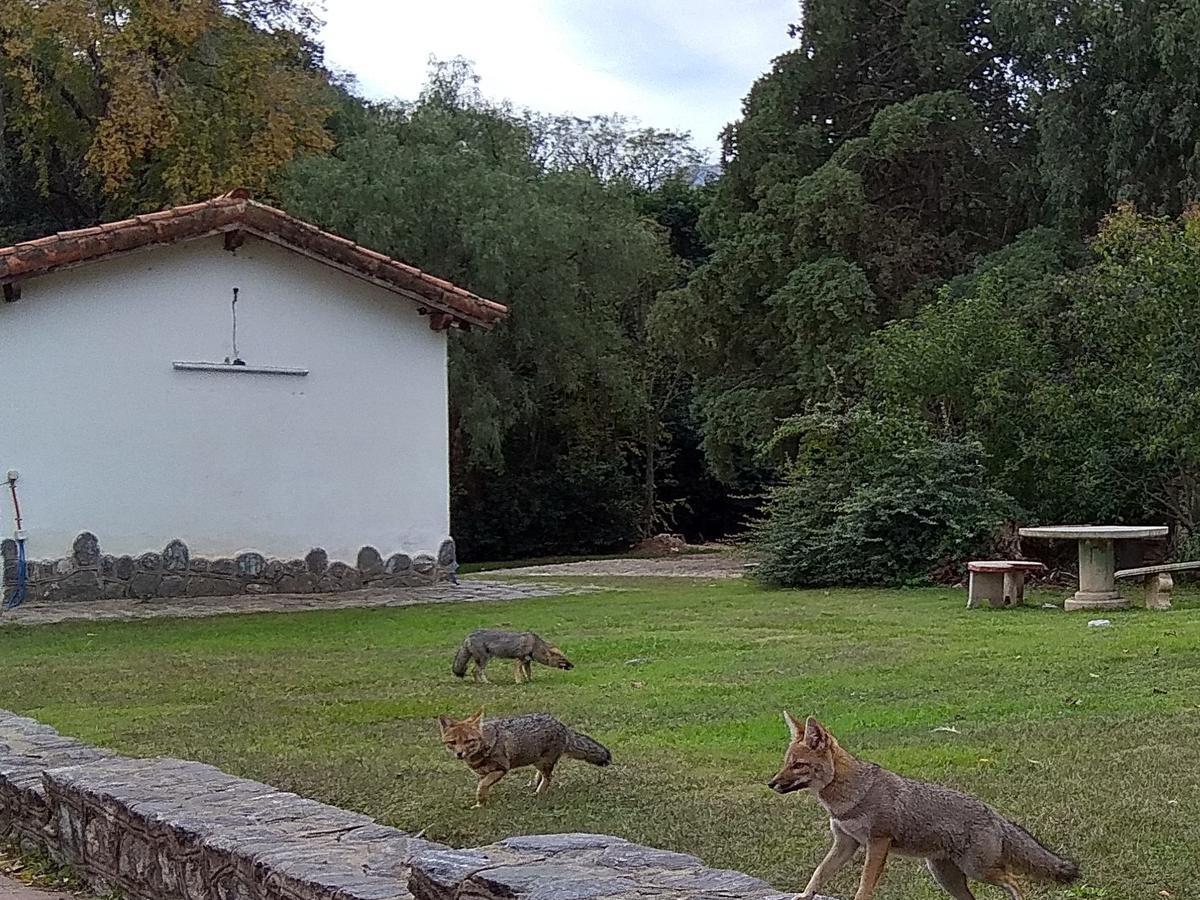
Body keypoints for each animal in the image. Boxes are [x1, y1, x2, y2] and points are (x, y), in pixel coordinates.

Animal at [436, 710, 609, 811]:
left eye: (468, 741)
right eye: (453, 742)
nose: (460, 754)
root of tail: (562, 726)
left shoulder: (501, 769)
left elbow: (482, 786)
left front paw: (480, 802)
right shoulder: (482, 773)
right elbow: (482, 787)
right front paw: (481, 803)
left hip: (543, 763)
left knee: (549, 778)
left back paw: (538, 792)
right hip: (537, 760)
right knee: (542, 775)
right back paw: (535, 783)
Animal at [772, 720, 1084, 900]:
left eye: (798, 765)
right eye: (786, 763)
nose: (771, 783)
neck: (849, 797)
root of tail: (993, 813)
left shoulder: (878, 842)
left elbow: (865, 883)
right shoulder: (845, 842)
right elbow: (819, 873)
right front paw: (804, 895)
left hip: (978, 870)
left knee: (1014, 880)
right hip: (948, 878)